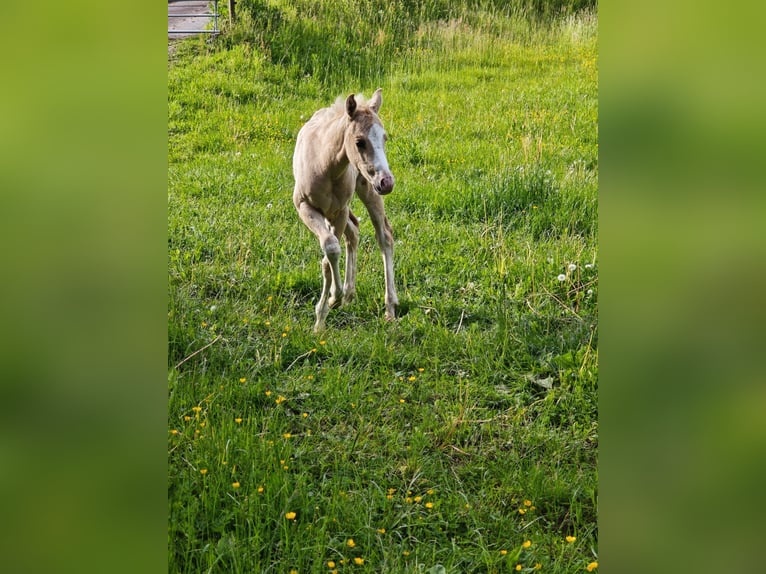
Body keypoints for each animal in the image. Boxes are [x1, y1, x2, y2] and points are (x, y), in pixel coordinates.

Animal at [292, 88, 398, 332]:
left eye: (384, 138)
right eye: (360, 142)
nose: (387, 182)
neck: (325, 165)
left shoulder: (338, 211)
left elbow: (330, 252)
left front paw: (331, 301)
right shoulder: (305, 207)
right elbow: (331, 248)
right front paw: (325, 314)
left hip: (368, 190)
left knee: (384, 237)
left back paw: (389, 307)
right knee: (354, 230)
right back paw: (349, 293)